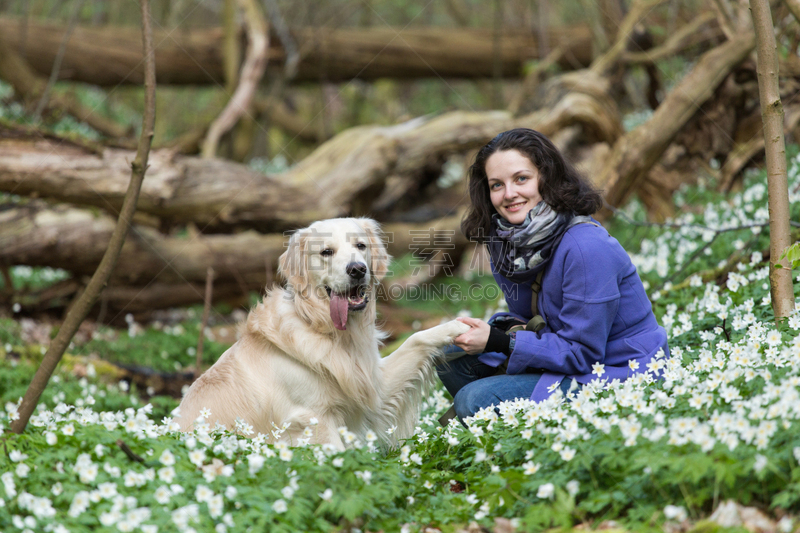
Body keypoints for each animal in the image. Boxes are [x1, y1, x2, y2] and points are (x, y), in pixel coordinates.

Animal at [177, 218, 468, 446]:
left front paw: (461, 326)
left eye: (361, 246)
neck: (323, 328)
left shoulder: (373, 384)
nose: (357, 269)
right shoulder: (312, 419)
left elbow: (416, 339)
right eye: (326, 252)